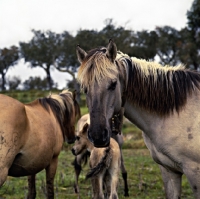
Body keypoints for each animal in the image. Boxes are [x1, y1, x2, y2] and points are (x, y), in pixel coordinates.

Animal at [76, 39, 200, 199]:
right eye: (84, 88)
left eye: (113, 84)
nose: (97, 135)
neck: (174, 113)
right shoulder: (169, 171)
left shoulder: (194, 172)